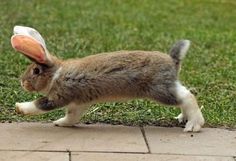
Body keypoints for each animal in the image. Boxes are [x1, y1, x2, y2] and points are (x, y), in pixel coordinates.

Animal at [10, 25, 205, 132]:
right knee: (186, 95)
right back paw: (183, 118)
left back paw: (194, 125)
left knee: (188, 97)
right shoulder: (78, 103)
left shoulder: (59, 96)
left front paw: (20, 108)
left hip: (159, 90)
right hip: (167, 87)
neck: (56, 73)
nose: (22, 82)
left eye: (36, 71)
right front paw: (60, 123)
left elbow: (40, 104)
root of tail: (173, 60)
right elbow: (72, 117)